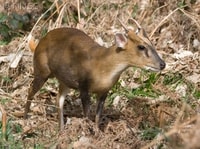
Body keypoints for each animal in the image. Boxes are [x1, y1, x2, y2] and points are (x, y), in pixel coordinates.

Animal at [24, 18, 166, 130]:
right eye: (141, 47)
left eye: (152, 44)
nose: (162, 64)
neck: (102, 67)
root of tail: (39, 42)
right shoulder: (83, 86)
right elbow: (87, 114)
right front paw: (88, 132)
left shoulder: (104, 91)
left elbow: (98, 116)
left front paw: (97, 133)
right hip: (41, 70)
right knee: (31, 89)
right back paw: (26, 116)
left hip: (64, 81)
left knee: (58, 99)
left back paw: (62, 130)